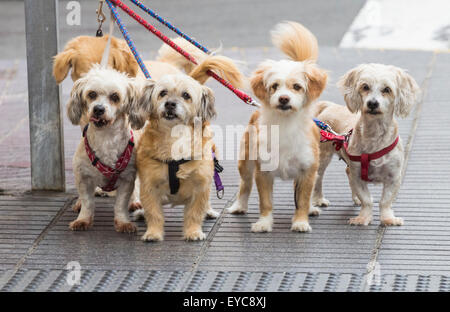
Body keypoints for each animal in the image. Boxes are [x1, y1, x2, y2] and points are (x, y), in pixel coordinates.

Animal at [67, 65, 140, 232]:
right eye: (92, 94)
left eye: (115, 96)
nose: (98, 109)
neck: (106, 138)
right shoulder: (83, 176)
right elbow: (87, 202)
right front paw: (83, 219)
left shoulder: (127, 178)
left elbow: (121, 204)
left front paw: (123, 222)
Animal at [229, 22, 326, 233]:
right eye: (274, 86)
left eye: (296, 87)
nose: (283, 99)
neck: (285, 124)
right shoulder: (262, 171)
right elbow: (265, 202)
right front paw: (264, 223)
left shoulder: (307, 170)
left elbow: (303, 200)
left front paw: (300, 222)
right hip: (245, 162)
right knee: (244, 185)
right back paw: (239, 206)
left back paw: (312, 209)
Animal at [312, 62, 422, 225]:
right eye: (365, 87)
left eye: (387, 89)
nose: (372, 103)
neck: (374, 136)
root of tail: (329, 106)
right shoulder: (358, 175)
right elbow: (367, 200)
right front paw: (363, 218)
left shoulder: (394, 177)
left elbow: (385, 201)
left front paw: (388, 219)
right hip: (323, 157)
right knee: (319, 179)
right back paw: (319, 199)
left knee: (347, 173)